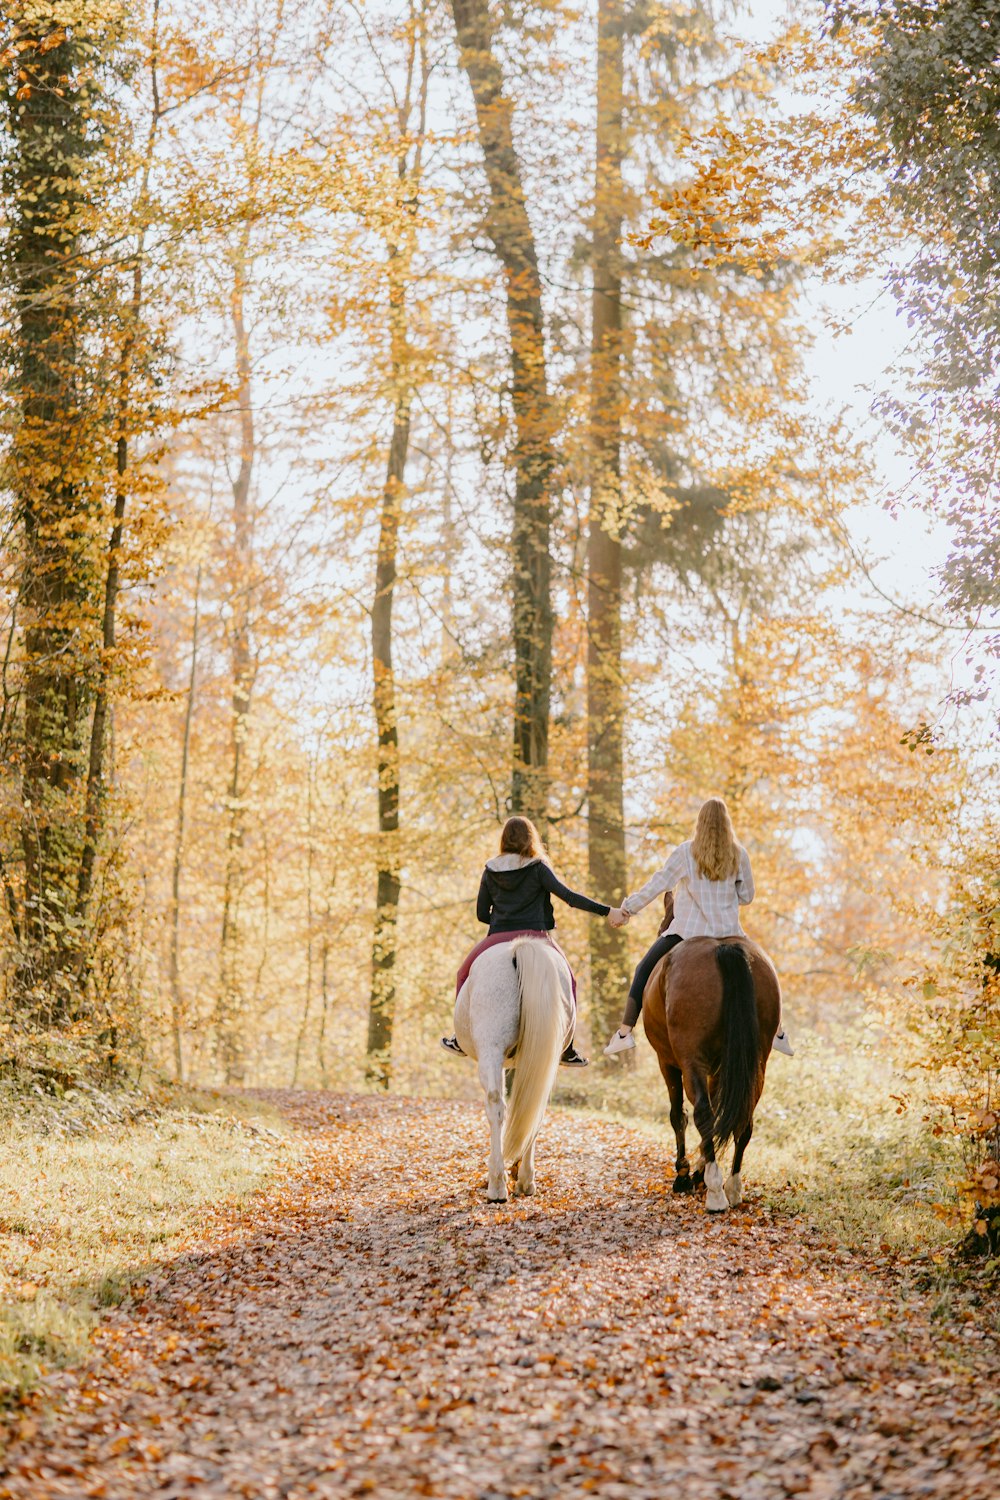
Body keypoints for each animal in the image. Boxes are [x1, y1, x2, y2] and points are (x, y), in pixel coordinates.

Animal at [452, 936, 569, 1206]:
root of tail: (520, 947)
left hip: (491, 1051)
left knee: (496, 1107)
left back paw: (497, 1184)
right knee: (535, 1106)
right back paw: (524, 1180)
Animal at [641, 930, 779, 1212]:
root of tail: (724, 948)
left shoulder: (667, 1062)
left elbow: (678, 1116)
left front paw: (685, 1175)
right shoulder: (718, 1070)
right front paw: (698, 1172)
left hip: (690, 1060)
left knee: (702, 1114)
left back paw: (715, 1193)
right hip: (756, 1062)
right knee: (742, 1119)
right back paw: (733, 1187)